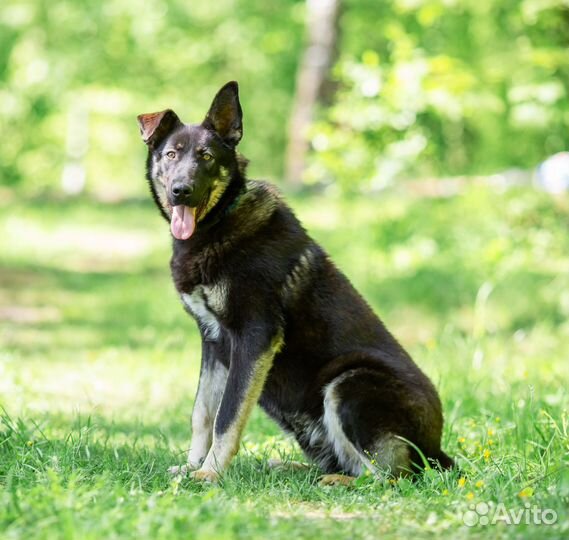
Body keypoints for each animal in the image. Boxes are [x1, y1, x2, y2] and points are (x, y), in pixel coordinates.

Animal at [135, 82, 450, 484]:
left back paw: (338, 481)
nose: (181, 190)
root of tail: (438, 451)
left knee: (391, 476)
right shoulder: (213, 342)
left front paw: (210, 473)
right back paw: (294, 469)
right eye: (171, 154)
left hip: (349, 384)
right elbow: (202, 414)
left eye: (206, 156)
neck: (218, 222)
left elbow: (227, 417)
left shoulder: (255, 335)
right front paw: (193, 467)